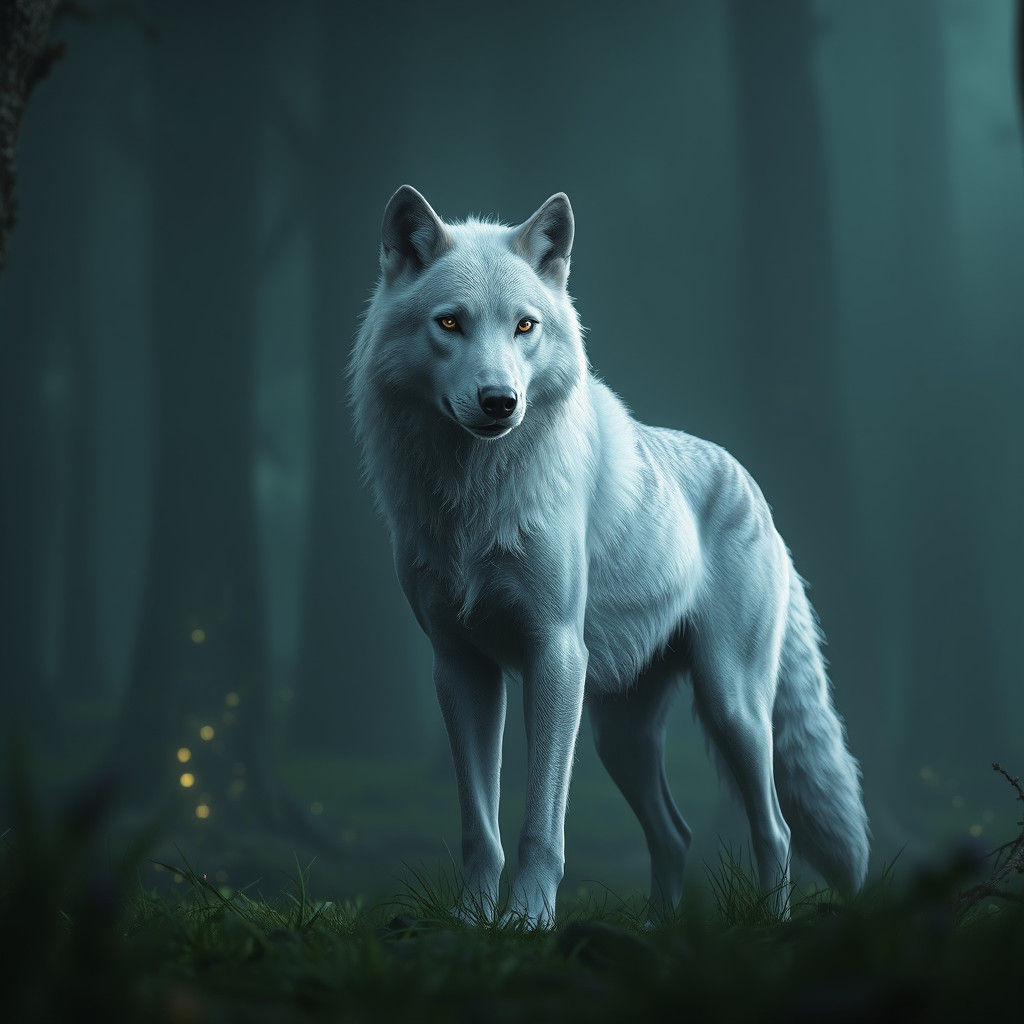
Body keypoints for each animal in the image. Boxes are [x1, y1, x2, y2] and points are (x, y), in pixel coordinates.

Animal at [349, 186, 869, 928]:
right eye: (449, 323)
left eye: (525, 326)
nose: (500, 401)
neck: (475, 498)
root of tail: (754, 490)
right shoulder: (460, 667)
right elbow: (480, 828)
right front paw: (472, 924)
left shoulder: (555, 654)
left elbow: (541, 826)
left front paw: (528, 924)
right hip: (619, 736)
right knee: (675, 833)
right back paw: (657, 926)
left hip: (732, 706)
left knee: (775, 828)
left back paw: (771, 923)